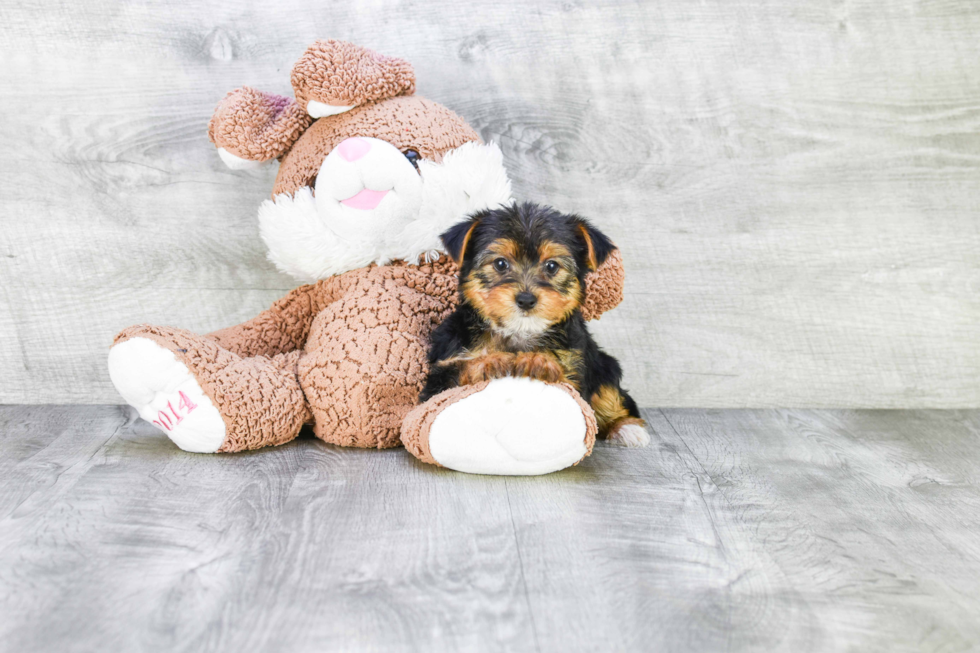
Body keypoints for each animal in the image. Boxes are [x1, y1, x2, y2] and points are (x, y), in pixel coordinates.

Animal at [422, 201, 652, 446]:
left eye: (551, 266)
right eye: (500, 264)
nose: (526, 299)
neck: (519, 331)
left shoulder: (575, 364)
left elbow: (572, 389)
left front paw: (537, 361)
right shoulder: (440, 372)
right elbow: (454, 375)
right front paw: (489, 362)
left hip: (603, 365)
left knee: (610, 393)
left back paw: (626, 427)